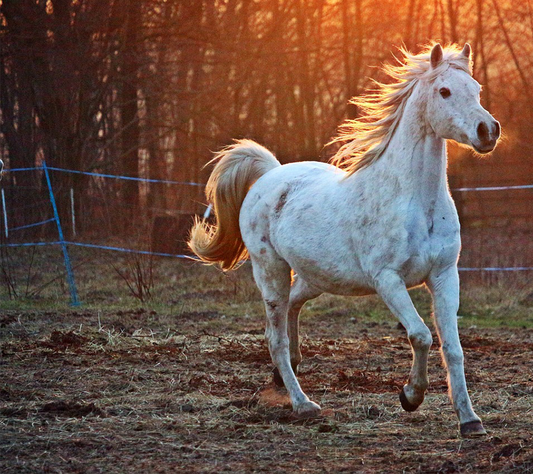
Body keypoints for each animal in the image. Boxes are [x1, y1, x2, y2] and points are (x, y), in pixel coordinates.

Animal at [190, 43, 498, 436]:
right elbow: (421, 335)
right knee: (275, 337)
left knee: (292, 309)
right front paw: (410, 396)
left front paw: (470, 421)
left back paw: (284, 373)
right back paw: (303, 403)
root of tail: (271, 174)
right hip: (271, 271)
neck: (415, 201)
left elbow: (453, 348)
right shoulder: (388, 280)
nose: (488, 131)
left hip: (317, 276)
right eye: (444, 91)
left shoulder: (444, 275)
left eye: (476, 89)